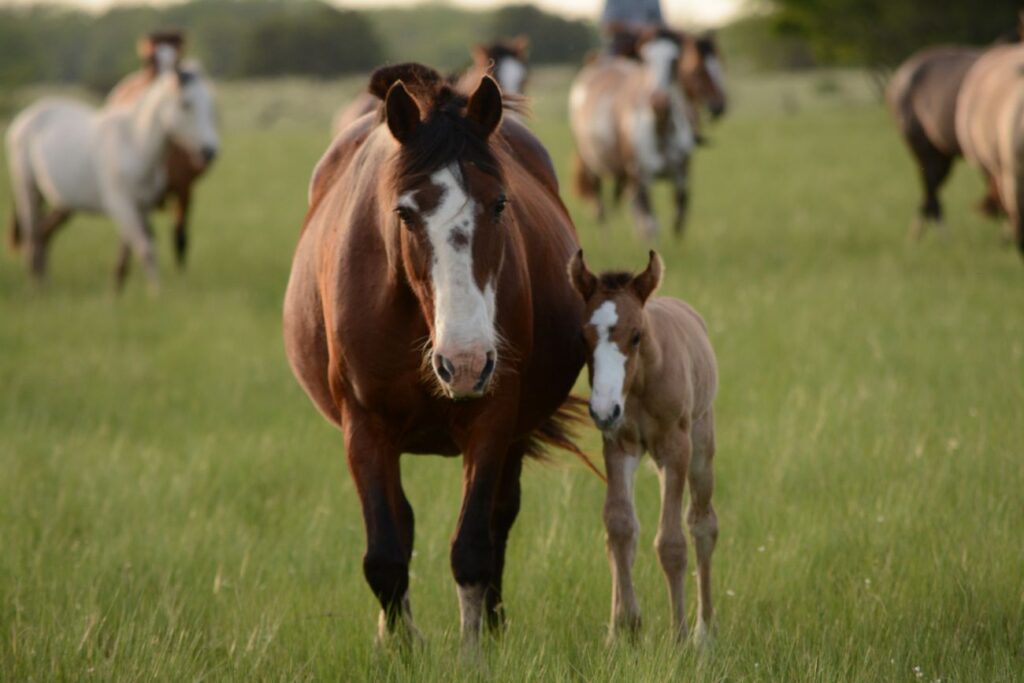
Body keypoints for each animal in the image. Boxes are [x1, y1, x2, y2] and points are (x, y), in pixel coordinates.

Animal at [288, 61, 593, 651]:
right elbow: (385, 554)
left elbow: (473, 546)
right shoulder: (364, 427)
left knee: (499, 519)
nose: (466, 362)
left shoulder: (493, 419)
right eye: (405, 214)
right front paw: (400, 651)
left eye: (500, 204)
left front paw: (476, 651)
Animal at [569, 249, 720, 647]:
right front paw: (624, 628)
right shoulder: (618, 445)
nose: (603, 409)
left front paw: (679, 637)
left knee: (703, 524)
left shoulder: (676, 450)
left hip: (701, 447)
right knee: (629, 531)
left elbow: (672, 542)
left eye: (635, 335)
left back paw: (704, 631)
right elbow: (620, 527)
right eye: (583, 336)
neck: (639, 385)